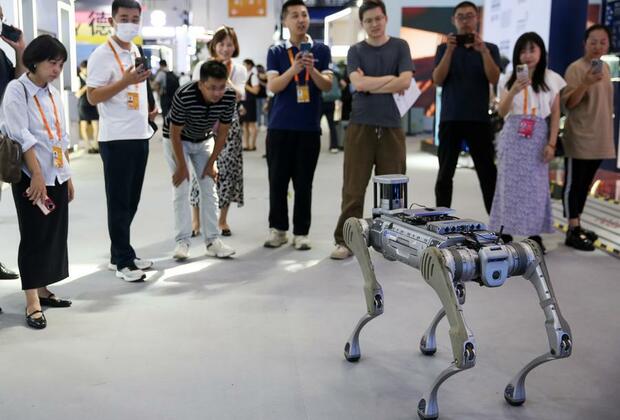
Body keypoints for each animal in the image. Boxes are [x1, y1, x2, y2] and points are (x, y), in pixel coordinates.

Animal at [344, 175, 572, 420]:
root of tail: (484, 248)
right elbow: (377, 296)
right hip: (509, 257)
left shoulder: (438, 261)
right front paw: (353, 344)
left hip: (512, 254)